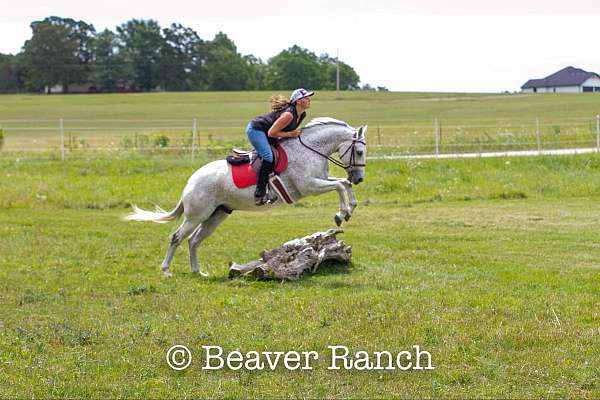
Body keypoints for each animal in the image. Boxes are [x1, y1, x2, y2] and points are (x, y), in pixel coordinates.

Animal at [125, 117, 366, 276]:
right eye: (360, 152)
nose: (359, 178)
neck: (311, 149)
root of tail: (191, 181)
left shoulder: (320, 180)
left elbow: (342, 184)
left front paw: (349, 209)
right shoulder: (309, 185)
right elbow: (339, 186)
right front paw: (341, 214)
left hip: (217, 215)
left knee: (194, 240)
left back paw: (197, 271)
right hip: (197, 215)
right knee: (177, 237)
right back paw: (166, 271)